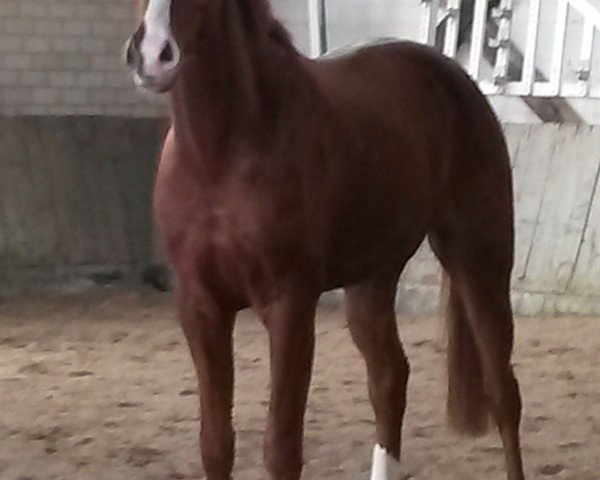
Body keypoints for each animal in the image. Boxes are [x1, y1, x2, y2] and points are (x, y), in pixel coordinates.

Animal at [125, 0, 524, 480]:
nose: (151, 56)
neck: (222, 154)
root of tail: (457, 81)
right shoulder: (200, 306)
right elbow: (216, 444)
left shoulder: (290, 305)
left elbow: (281, 448)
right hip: (372, 279)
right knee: (389, 379)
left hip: (479, 259)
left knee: (503, 394)